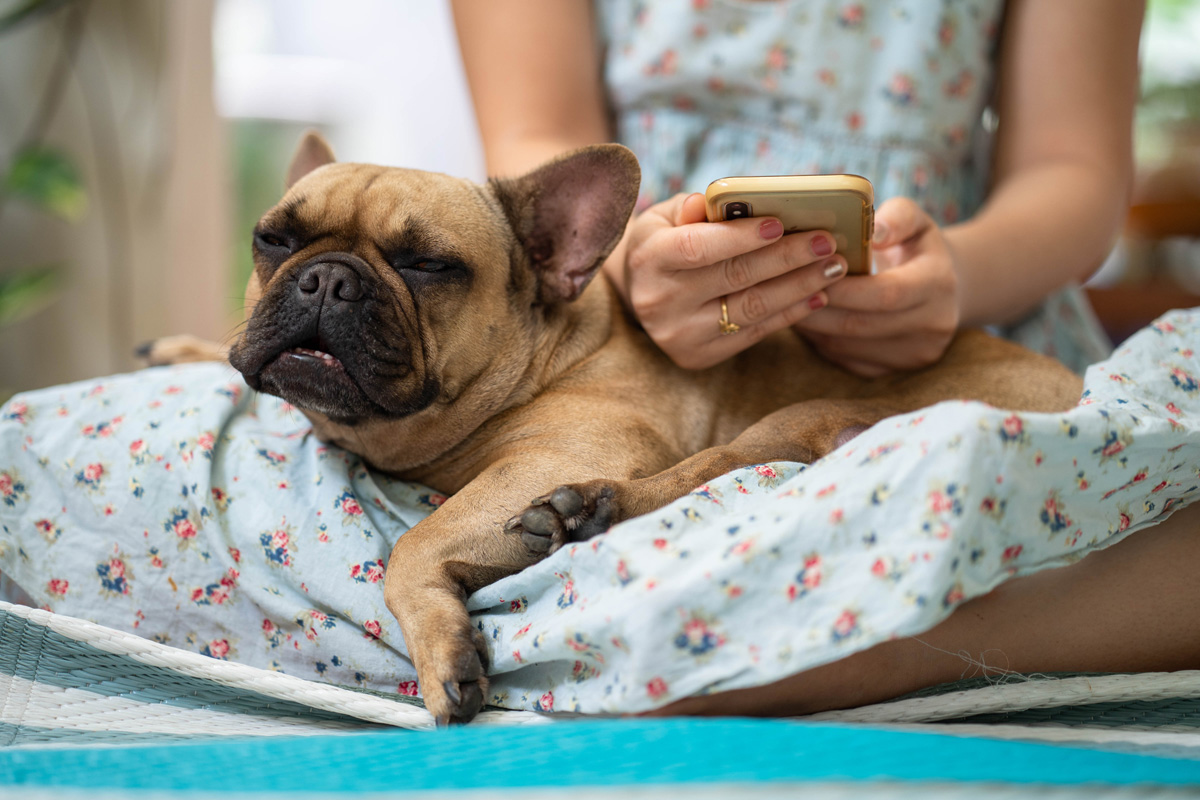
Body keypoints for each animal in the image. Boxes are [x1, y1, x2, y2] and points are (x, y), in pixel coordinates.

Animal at [147, 133, 1080, 724]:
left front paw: (445, 655)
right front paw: (178, 346)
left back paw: (584, 511)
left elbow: (414, 546)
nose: (326, 279)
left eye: (427, 265)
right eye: (273, 239)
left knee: (719, 466)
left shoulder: (561, 452)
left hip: (790, 414)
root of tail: (1075, 388)